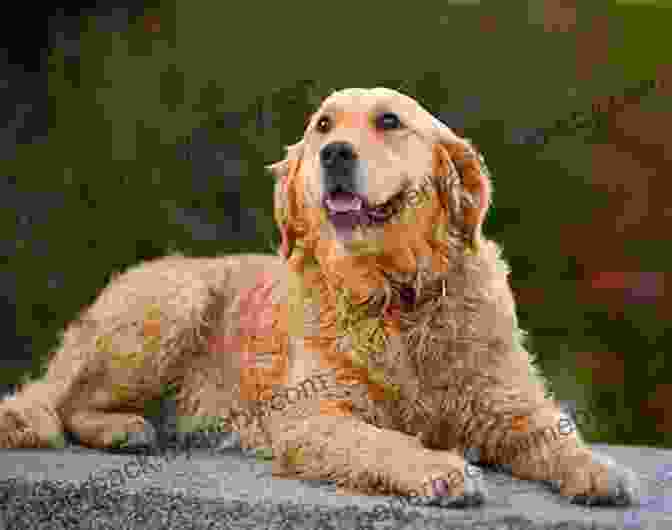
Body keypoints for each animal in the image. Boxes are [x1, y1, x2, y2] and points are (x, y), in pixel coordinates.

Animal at [0, 85, 640, 504]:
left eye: (389, 122)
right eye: (323, 127)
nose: (335, 154)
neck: (397, 295)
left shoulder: (507, 402)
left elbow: (554, 434)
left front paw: (597, 470)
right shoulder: (314, 416)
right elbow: (382, 442)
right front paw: (439, 469)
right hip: (175, 304)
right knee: (64, 402)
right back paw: (122, 429)